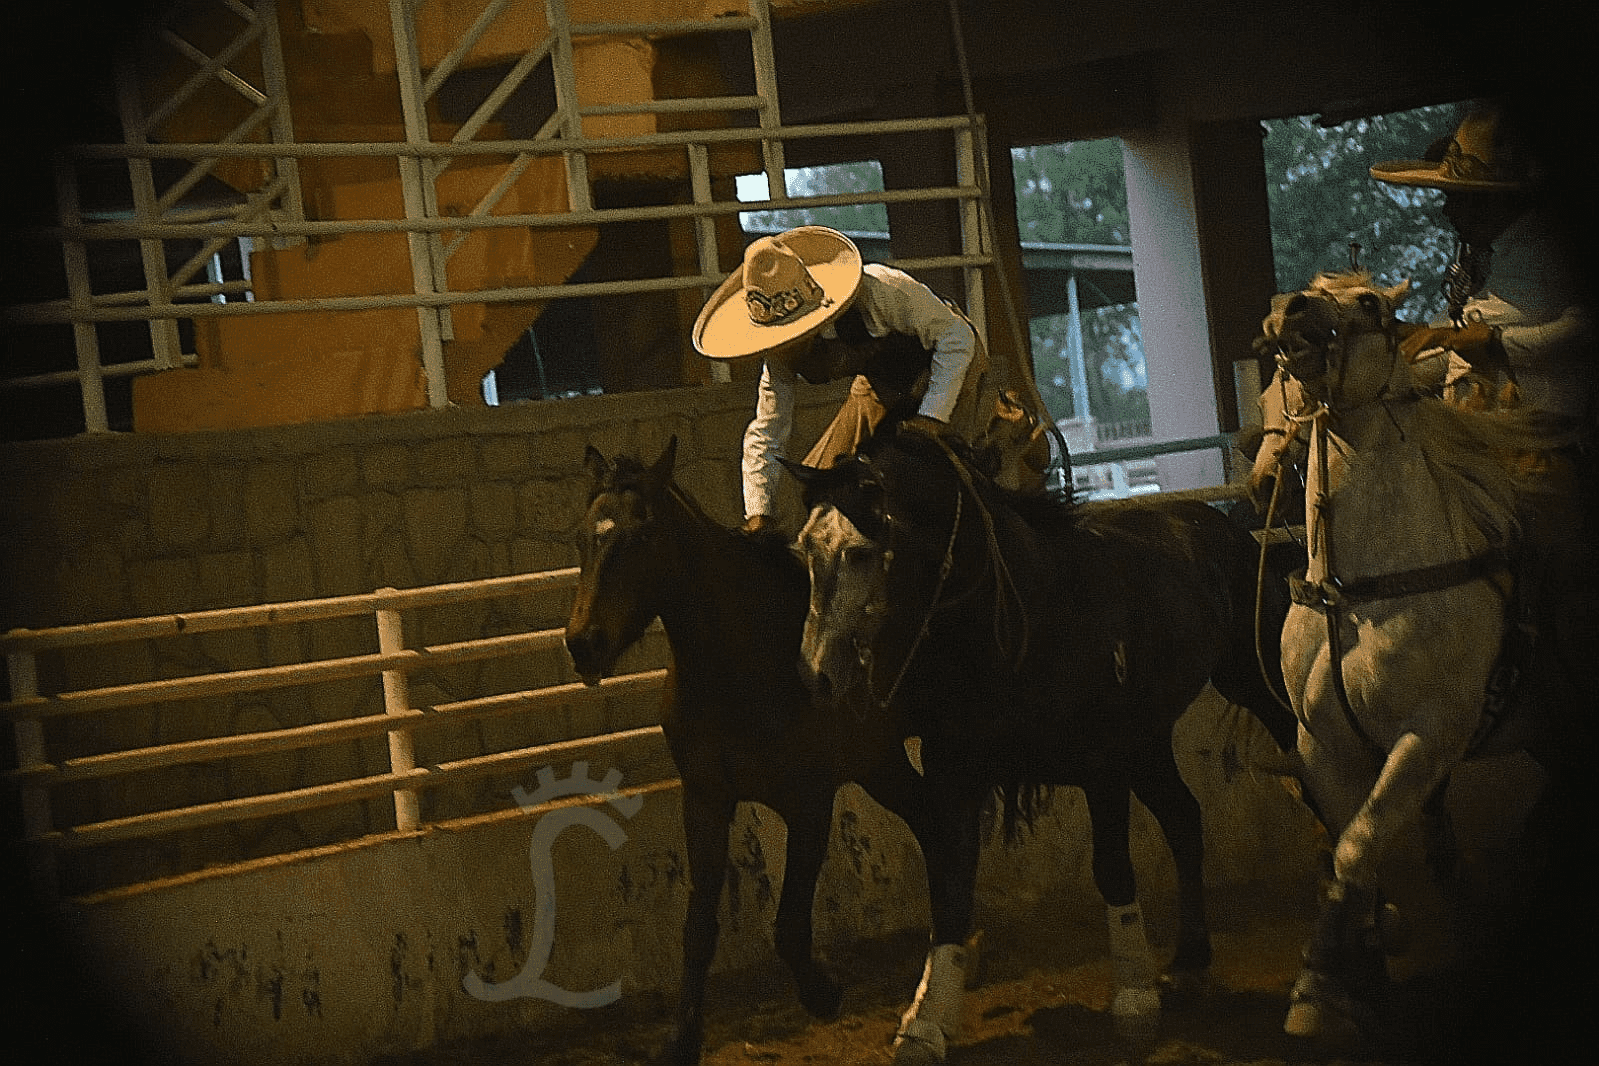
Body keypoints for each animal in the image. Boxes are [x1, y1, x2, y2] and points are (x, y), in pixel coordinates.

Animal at [566, 434, 940, 1066]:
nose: (582, 643)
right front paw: (683, 1038)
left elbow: (788, 924)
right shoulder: (706, 800)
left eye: (639, 537)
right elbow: (698, 928)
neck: (744, 658)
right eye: (583, 537)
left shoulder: (810, 802)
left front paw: (822, 994)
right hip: (881, 764)